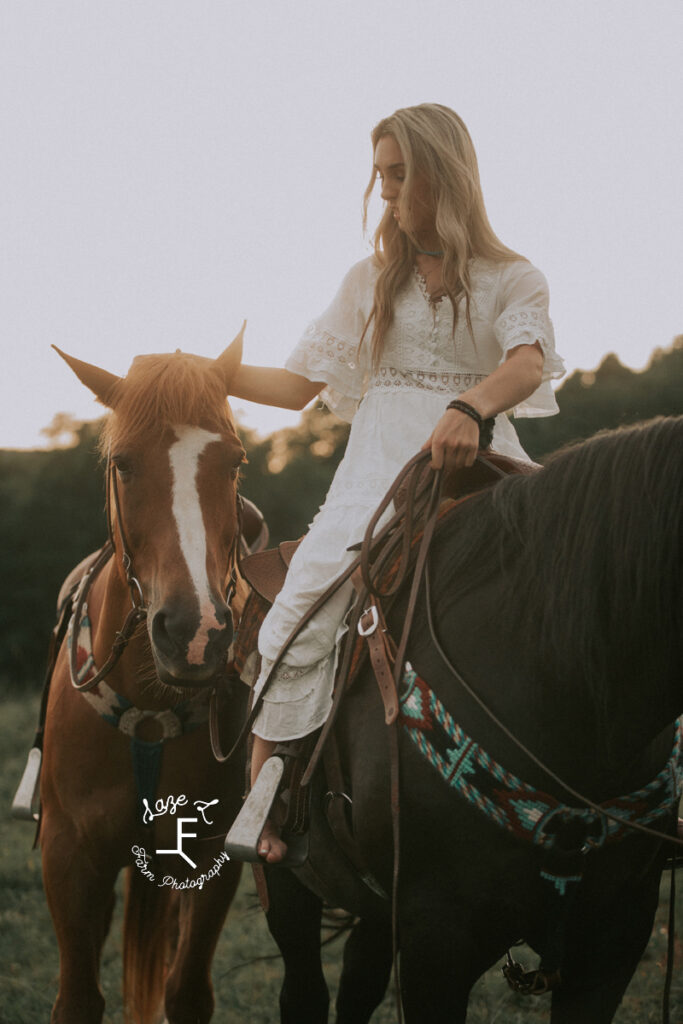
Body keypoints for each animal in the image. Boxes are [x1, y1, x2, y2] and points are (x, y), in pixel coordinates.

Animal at [36, 331, 248, 1019]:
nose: (195, 632)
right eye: (124, 464)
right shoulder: (69, 859)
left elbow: (186, 992)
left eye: (234, 462)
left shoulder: (210, 852)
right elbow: (78, 998)